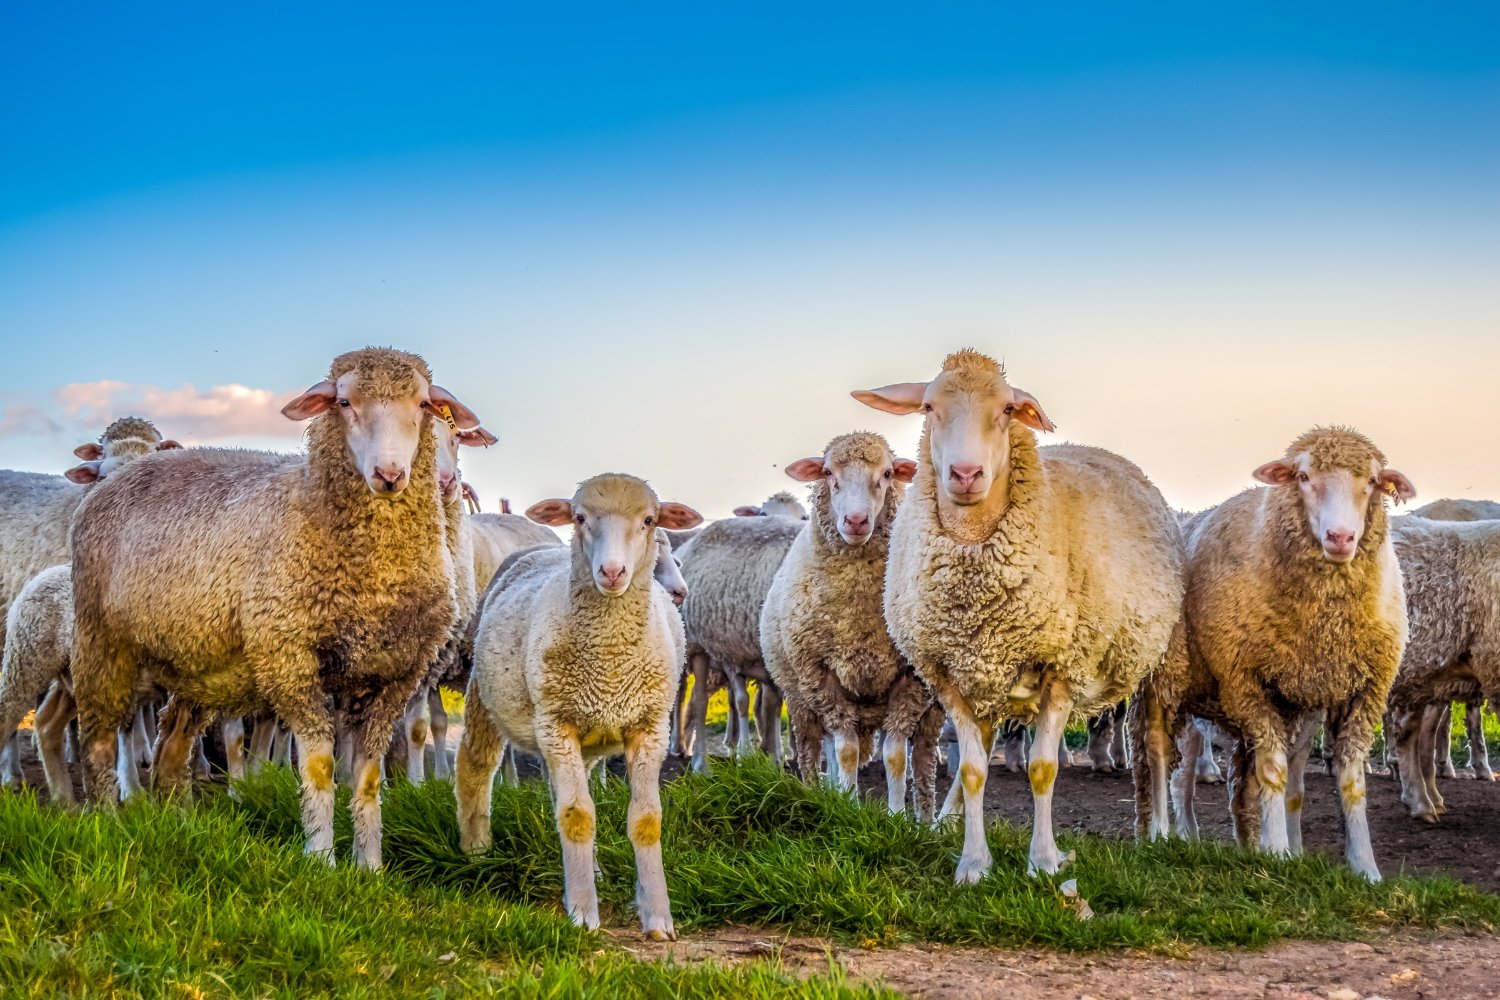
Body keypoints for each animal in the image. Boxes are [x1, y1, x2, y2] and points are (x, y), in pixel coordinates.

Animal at [450, 473, 702, 935]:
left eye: (649, 520)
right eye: (580, 517)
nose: (612, 571)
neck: (610, 659)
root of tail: (545, 548)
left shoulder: (649, 726)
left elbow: (646, 820)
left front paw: (658, 915)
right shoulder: (557, 722)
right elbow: (578, 816)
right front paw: (583, 912)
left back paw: (593, 869)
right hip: (489, 693)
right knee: (474, 764)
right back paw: (476, 850)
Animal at [756, 431, 942, 815]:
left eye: (887, 474)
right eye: (828, 472)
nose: (856, 521)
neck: (860, 615)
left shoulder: (912, 680)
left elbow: (895, 755)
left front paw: (897, 817)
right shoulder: (821, 676)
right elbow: (845, 750)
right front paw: (847, 807)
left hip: (931, 711)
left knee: (924, 761)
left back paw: (926, 818)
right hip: (800, 700)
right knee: (812, 749)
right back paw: (814, 793)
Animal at [858, 347, 1182, 881]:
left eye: (1008, 409)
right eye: (928, 407)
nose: (966, 474)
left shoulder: (1063, 668)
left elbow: (1043, 768)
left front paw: (1045, 861)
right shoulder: (947, 673)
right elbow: (972, 769)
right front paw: (973, 863)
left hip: (1159, 656)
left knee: (1154, 742)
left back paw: (1159, 833)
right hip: (987, 675)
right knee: (982, 750)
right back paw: (944, 821)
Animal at [1128, 425, 1410, 881]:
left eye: (1372, 481)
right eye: (1303, 477)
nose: (1340, 537)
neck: (1325, 623)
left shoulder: (1355, 692)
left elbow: (1340, 782)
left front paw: (1362, 867)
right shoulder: (1245, 681)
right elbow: (1273, 770)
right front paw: (1277, 851)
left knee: (1236, 780)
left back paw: (1244, 843)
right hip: (1164, 678)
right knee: (1159, 757)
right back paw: (1161, 833)